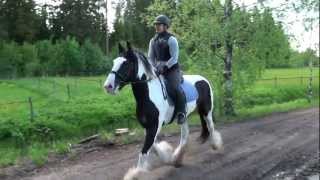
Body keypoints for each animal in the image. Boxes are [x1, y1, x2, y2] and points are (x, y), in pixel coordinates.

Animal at [103, 41, 222, 179]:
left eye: (126, 64)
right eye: (114, 62)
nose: (108, 86)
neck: (148, 95)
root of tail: (204, 79)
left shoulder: (155, 126)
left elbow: (144, 151)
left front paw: (135, 174)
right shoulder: (149, 126)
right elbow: (153, 146)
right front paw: (168, 157)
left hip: (206, 111)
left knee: (211, 127)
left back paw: (216, 145)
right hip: (184, 116)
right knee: (185, 135)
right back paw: (177, 159)